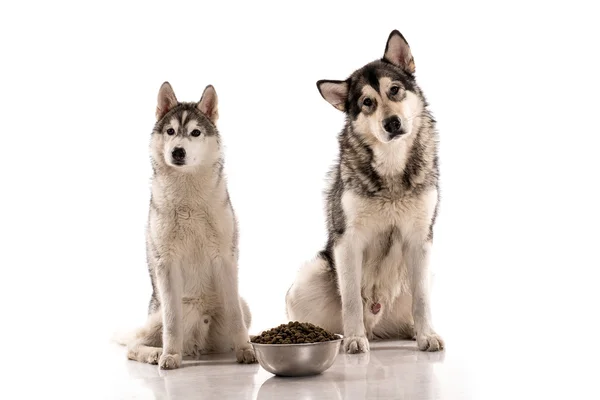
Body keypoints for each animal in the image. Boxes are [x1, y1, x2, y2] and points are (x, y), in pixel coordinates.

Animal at [125, 81, 256, 368]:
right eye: (171, 131)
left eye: (195, 133)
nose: (177, 151)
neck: (188, 200)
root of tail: (197, 345)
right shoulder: (167, 264)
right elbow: (172, 323)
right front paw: (169, 355)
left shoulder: (225, 258)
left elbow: (235, 317)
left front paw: (246, 350)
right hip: (159, 313)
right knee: (133, 345)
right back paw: (155, 353)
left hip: (243, 307)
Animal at [286, 30, 446, 354]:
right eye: (367, 102)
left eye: (394, 90)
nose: (392, 123)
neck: (392, 166)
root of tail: (378, 327)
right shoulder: (347, 242)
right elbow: (350, 300)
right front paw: (354, 339)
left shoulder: (420, 240)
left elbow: (422, 300)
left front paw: (426, 335)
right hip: (308, 278)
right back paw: (340, 335)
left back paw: (412, 330)